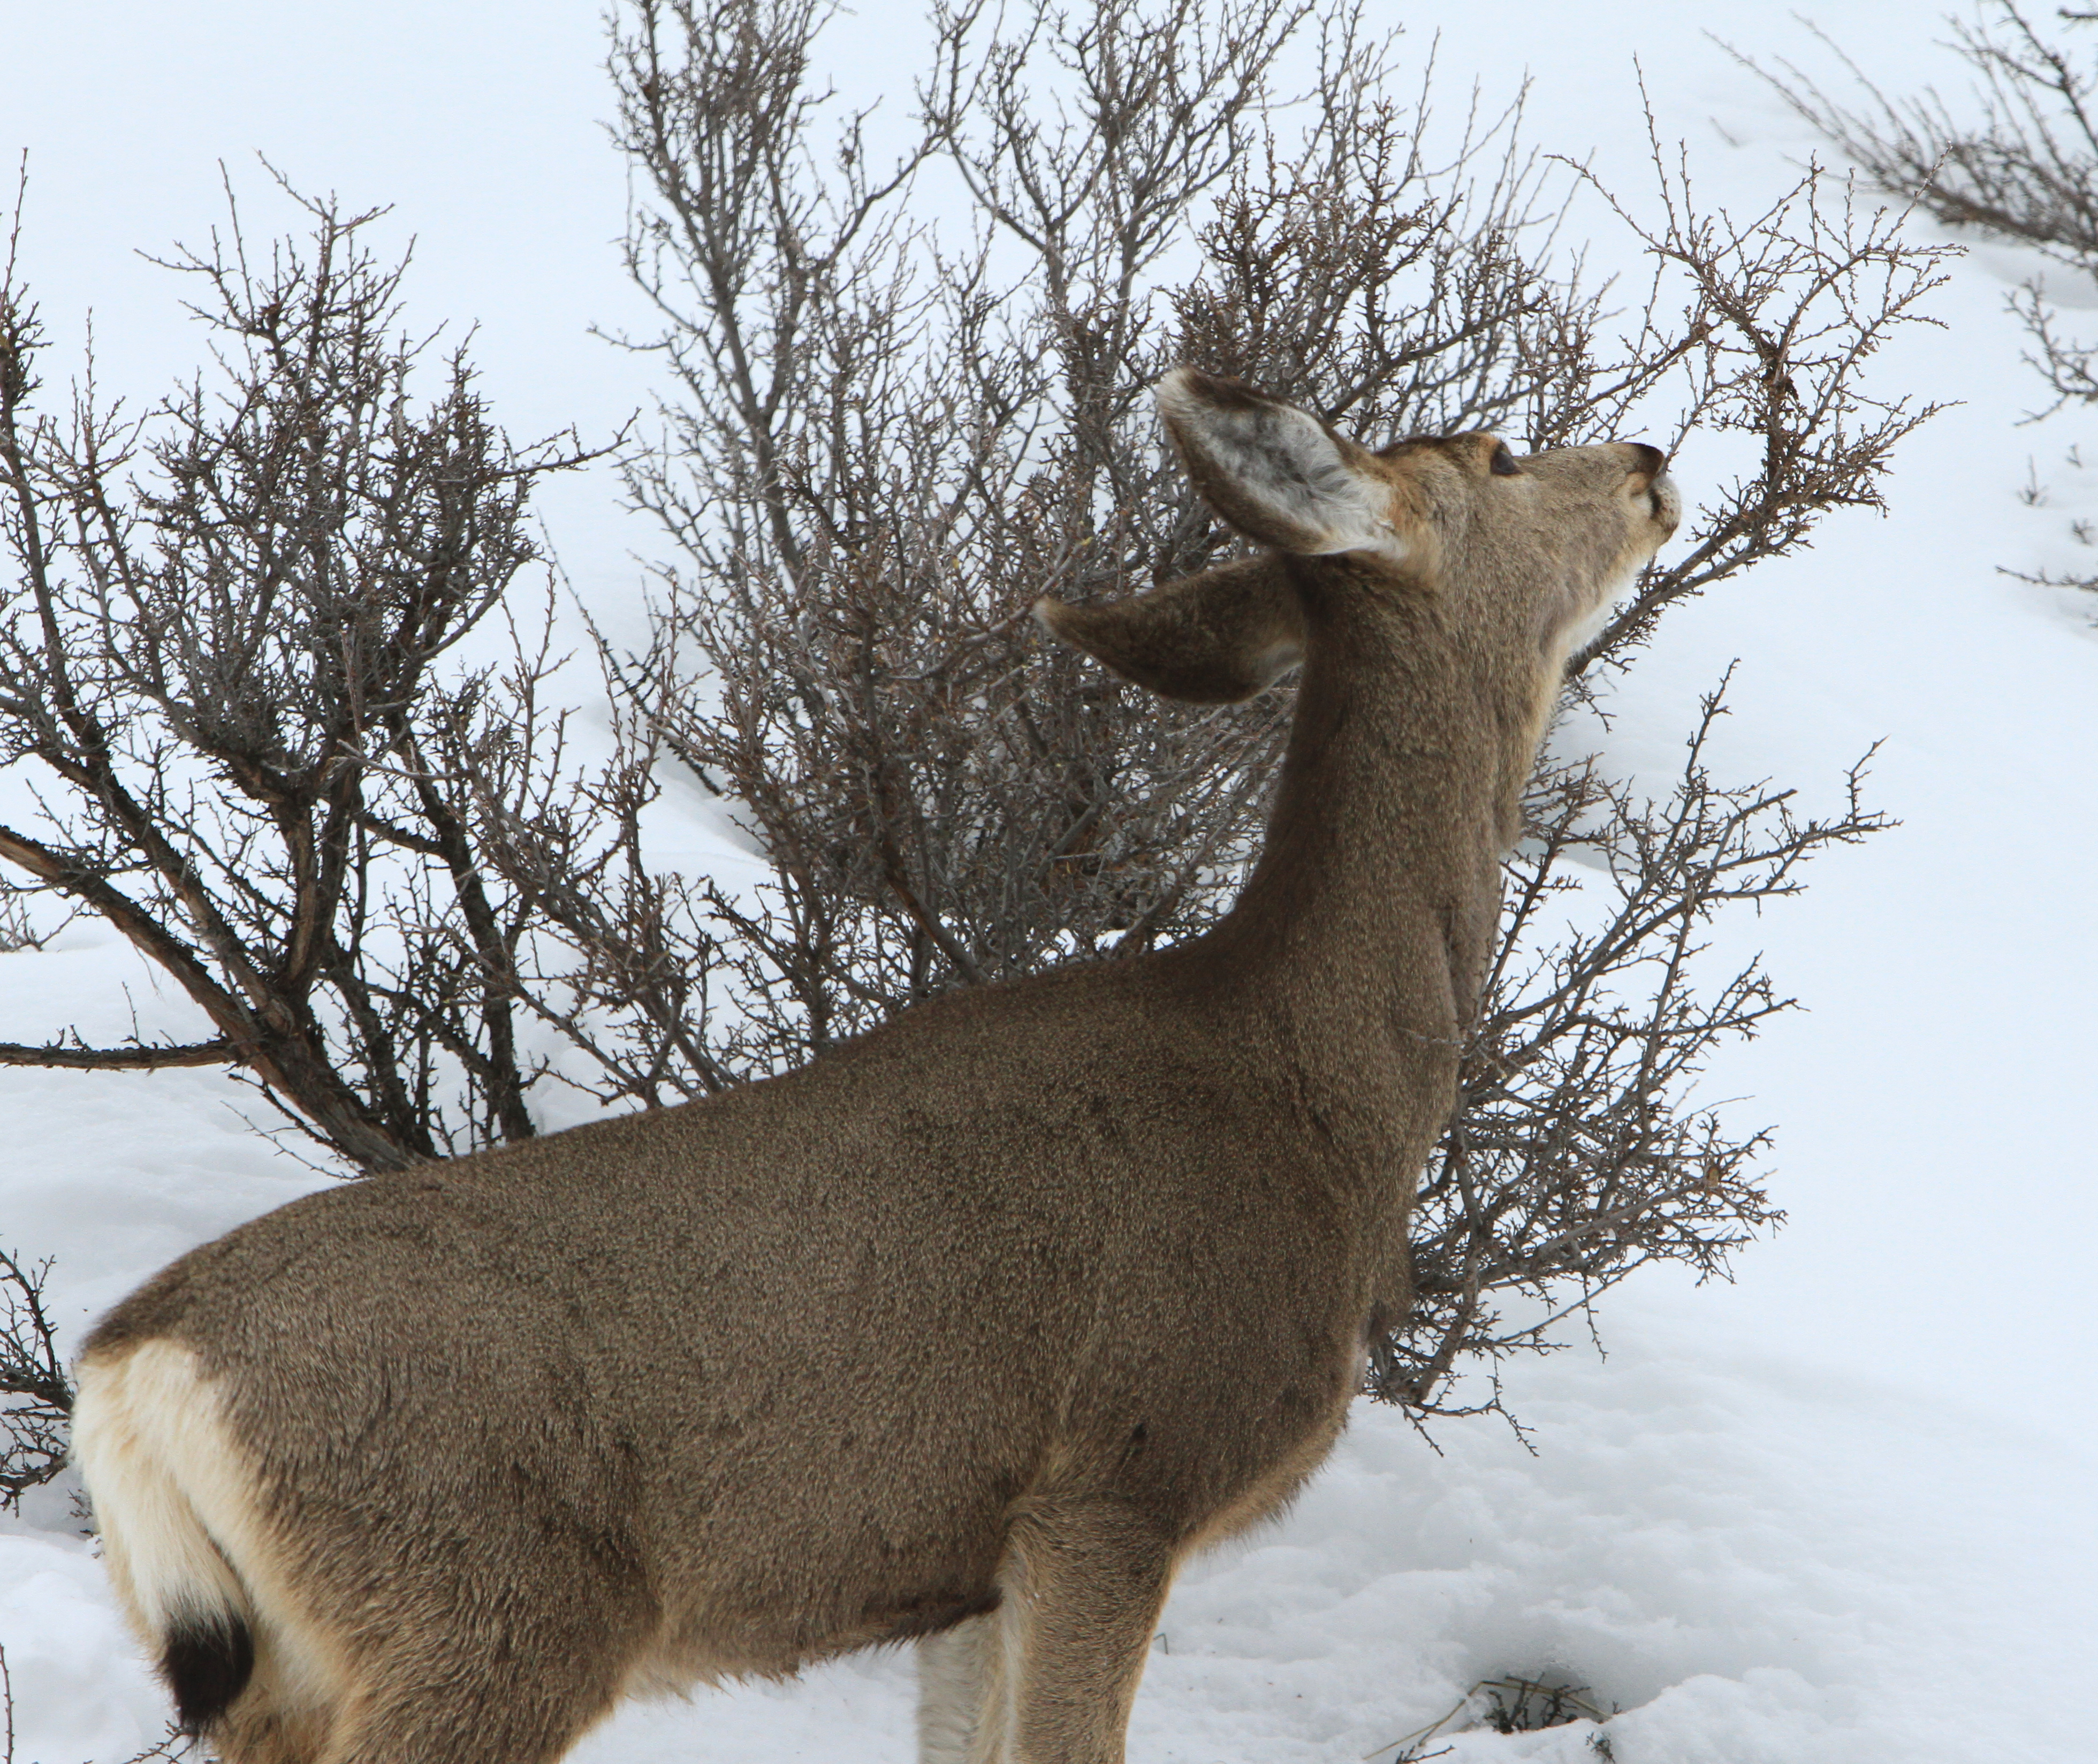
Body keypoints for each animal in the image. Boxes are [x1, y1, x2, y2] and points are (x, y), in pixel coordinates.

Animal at [65, 369, 1678, 1762]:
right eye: (1500, 456)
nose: (1653, 463)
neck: (1307, 1082)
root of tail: (132, 1369)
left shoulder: (970, 1554)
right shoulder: (1117, 1476)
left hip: (279, 1669)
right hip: (488, 1606)